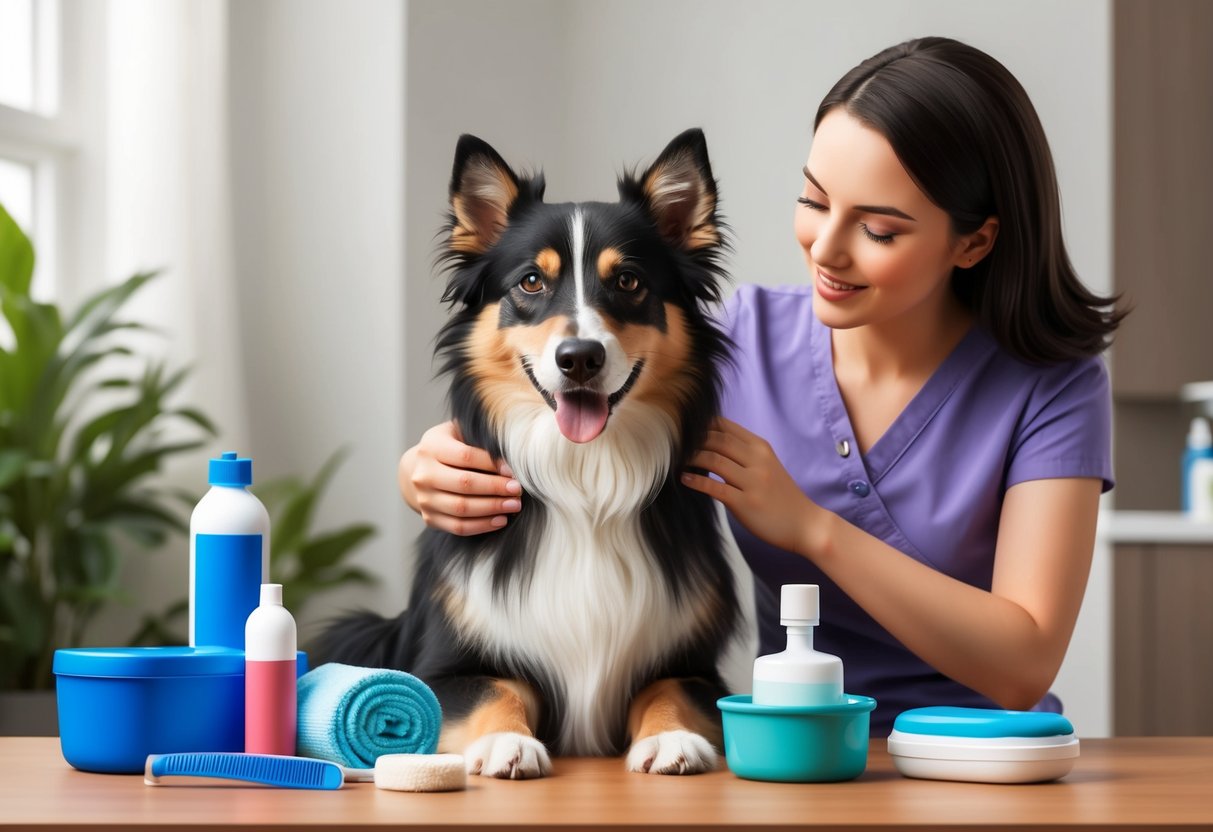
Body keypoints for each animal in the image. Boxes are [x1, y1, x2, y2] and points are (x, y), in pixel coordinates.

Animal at [317, 130, 742, 781]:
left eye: (629, 282)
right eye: (530, 283)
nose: (580, 358)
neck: (585, 480)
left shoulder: (695, 665)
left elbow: (667, 688)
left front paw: (672, 739)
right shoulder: (444, 667)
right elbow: (496, 688)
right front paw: (504, 742)